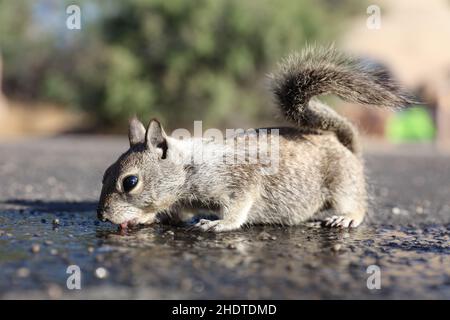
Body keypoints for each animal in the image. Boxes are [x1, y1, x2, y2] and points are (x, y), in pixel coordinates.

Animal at [97, 46, 412, 231]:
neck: (189, 167)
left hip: (343, 184)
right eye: (104, 174)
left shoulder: (240, 180)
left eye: (130, 181)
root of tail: (342, 144)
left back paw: (345, 217)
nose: (101, 216)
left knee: (357, 205)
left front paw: (220, 224)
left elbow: (239, 207)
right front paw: (148, 217)